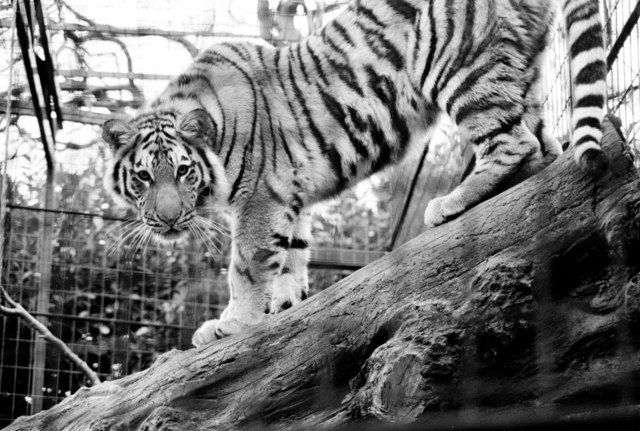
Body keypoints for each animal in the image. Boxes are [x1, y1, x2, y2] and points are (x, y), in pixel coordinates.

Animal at [102, 0, 608, 348]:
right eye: (143, 178)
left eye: (184, 171)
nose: (168, 219)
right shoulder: (288, 194)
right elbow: (292, 254)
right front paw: (284, 305)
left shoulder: (260, 196)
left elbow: (246, 266)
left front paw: (232, 323)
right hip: (523, 70)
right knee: (543, 145)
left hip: (459, 67)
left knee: (513, 141)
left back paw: (450, 204)